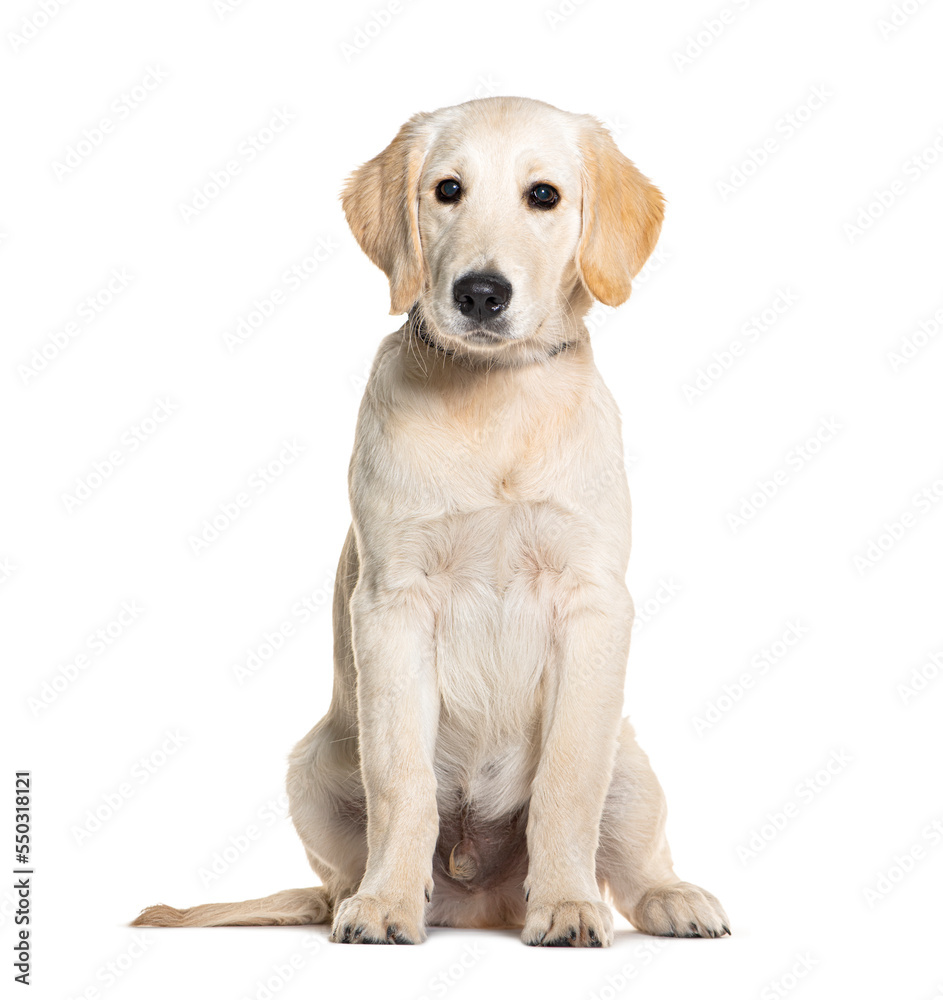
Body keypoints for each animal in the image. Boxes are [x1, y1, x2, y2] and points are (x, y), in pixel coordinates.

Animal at [133, 94, 728, 944]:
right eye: (447, 190)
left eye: (542, 196)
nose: (480, 293)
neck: (493, 395)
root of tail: (480, 901)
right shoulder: (392, 605)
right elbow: (401, 781)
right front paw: (384, 904)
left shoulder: (593, 604)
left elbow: (567, 783)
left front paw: (566, 903)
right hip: (313, 766)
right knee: (345, 866)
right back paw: (364, 894)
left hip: (632, 762)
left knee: (632, 853)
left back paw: (668, 897)